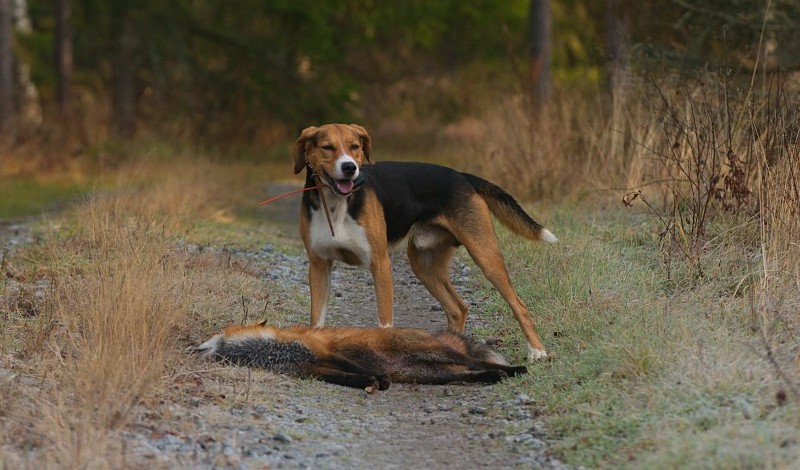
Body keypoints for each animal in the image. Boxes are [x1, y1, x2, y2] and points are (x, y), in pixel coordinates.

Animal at [292, 123, 556, 362]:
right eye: (327, 147)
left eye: (354, 146)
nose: (350, 168)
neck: (337, 203)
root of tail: (462, 176)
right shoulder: (319, 266)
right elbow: (316, 321)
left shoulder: (380, 264)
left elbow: (384, 323)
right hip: (424, 264)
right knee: (458, 308)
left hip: (485, 255)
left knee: (518, 305)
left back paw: (537, 352)